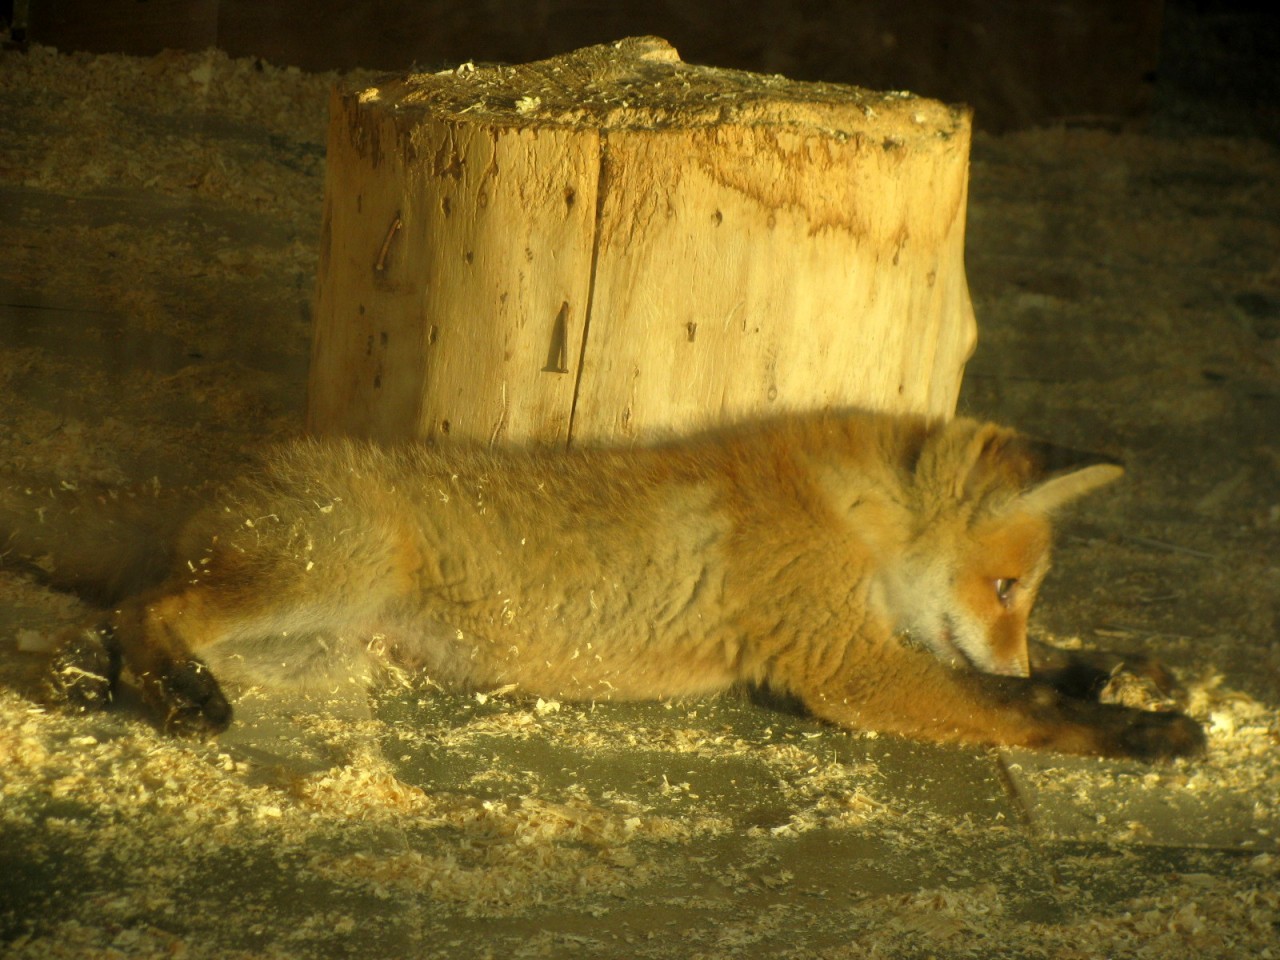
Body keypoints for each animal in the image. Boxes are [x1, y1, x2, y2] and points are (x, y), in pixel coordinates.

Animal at [0, 409, 1203, 762]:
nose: (1015, 635)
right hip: (328, 576)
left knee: (113, 618)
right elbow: (1015, 707)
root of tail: (228, 472)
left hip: (320, 639)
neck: (845, 511)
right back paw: (170, 694)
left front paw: (1120, 679)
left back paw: (90, 681)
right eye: (1006, 588)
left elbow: (1048, 684)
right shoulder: (845, 667)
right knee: (143, 607)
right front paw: (1137, 732)